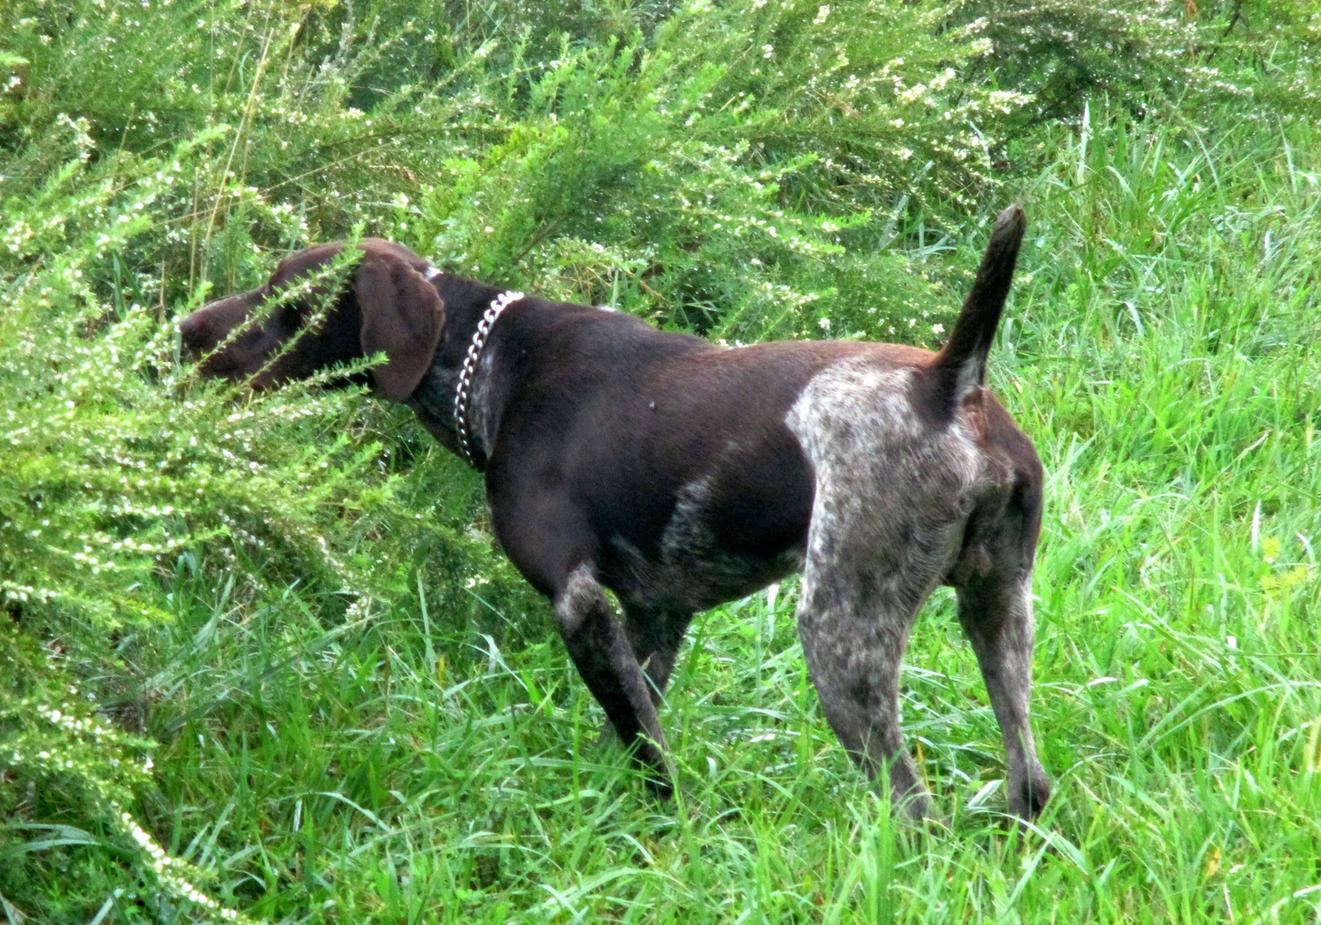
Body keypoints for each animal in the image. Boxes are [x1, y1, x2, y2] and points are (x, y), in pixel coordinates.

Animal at [180, 206, 1051, 819]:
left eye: (287, 300)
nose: (188, 329)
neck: (488, 363)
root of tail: (944, 385)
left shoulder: (578, 603)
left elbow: (648, 753)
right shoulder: (656, 614)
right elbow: (631, 728)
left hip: (841, 631)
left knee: (912, 808)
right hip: (998, 608)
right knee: (1029, 780)